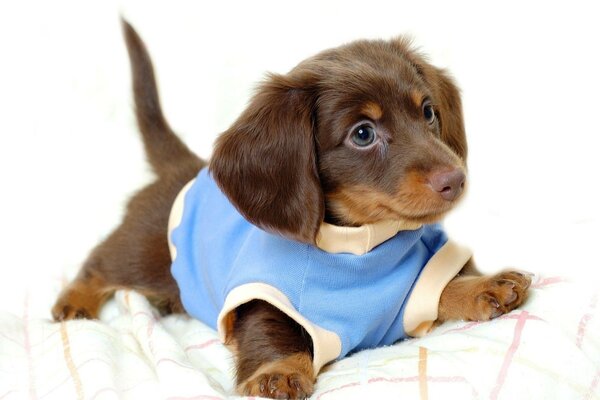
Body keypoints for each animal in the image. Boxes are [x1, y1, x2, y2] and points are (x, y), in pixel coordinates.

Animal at [51, 22, 528, 400]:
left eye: (427, 111)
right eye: (363, 133)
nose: (455, 180)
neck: (360, 247)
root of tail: (185, 168)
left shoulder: (414, 283)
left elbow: (445, 284)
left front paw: (485, 286)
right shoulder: (259, 296)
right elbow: (274, 332)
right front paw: (277, 372)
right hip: (142, 254)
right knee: (99, 264)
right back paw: (75, 300)